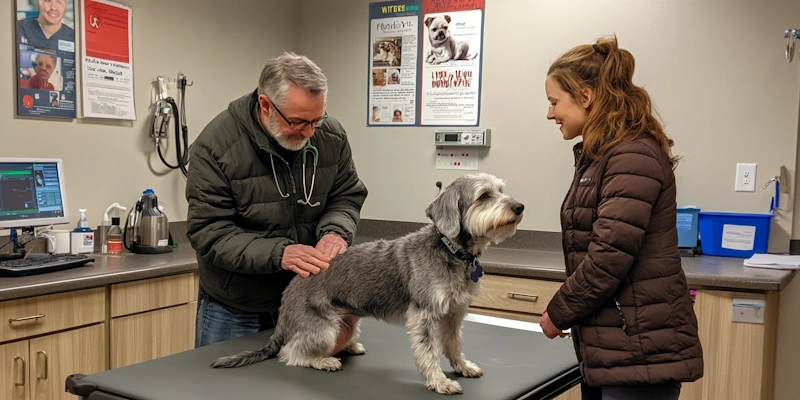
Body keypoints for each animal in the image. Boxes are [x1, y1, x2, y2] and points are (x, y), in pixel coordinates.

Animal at [209, 172, 528, 394]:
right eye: (484, 195)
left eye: (501, 190)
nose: (519, 206)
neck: (452, 251)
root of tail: (288, 293)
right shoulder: (424, 315)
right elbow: (429, 352)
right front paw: (439, 381)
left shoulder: (454, 314)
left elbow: (453, 345)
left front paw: (462, 367)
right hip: (324, 329)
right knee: (291, 353)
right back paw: (323, 360)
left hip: (347, 323)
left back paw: (349, 348)